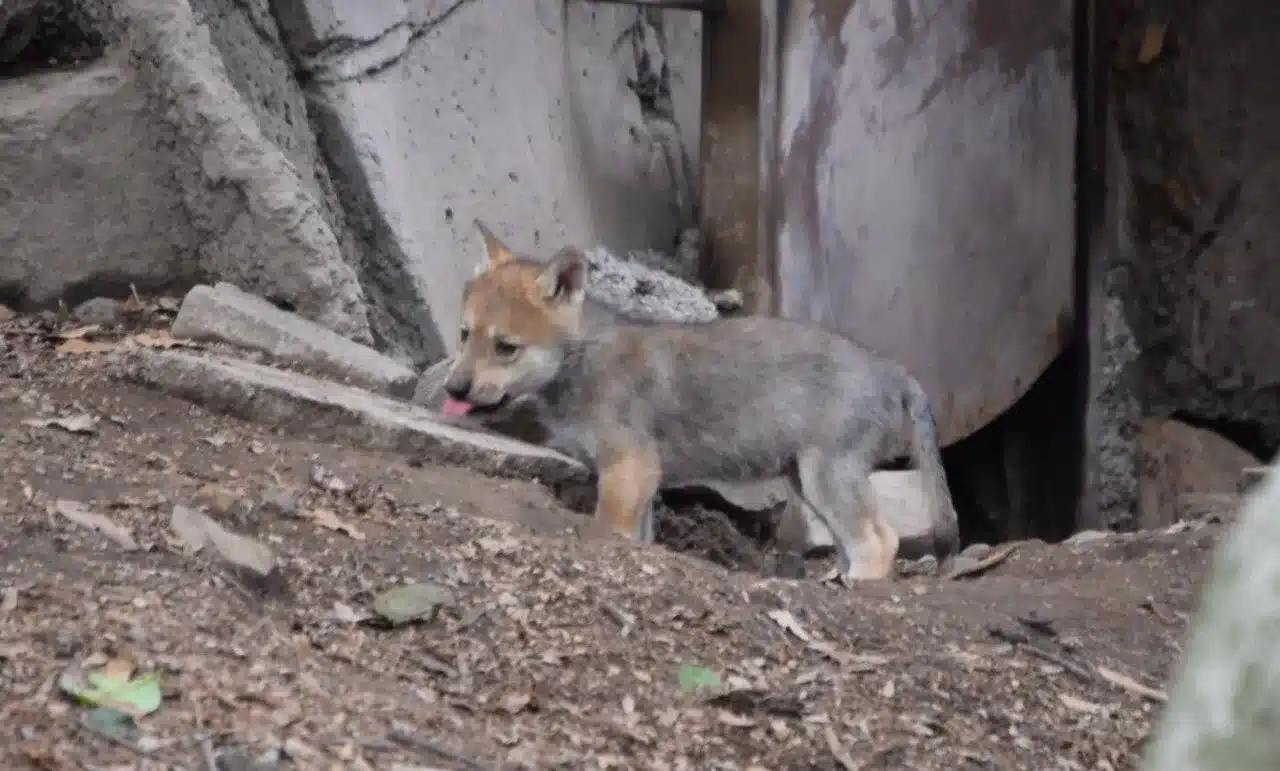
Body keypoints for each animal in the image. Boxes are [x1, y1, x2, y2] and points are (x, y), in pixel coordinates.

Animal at [439, 221, 961, 581]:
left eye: (506, 347)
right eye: (464, 335)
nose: (453, 389)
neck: (580, 358)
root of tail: (895, 371)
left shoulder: (629, 468)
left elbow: (609, 532)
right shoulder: (640, 481)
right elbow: (640, 540)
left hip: (827, 475)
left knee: (880, 541)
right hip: (810, 481)